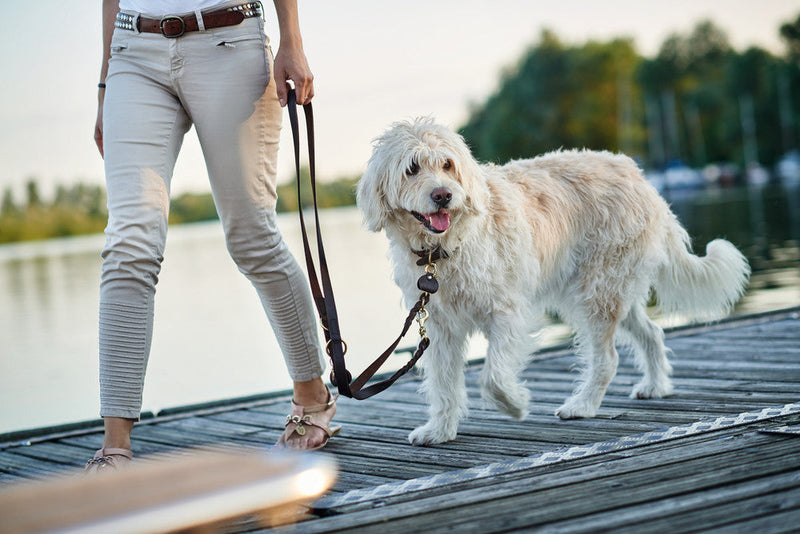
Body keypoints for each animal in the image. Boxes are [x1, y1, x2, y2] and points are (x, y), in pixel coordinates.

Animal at [356, 118, 752, 448]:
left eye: (447, 165)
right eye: (411, 168)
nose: (443, 195)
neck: (442, 250)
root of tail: (639, 176)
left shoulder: (507, 313)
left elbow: (492, 378)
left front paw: (516, 405)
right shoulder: (440, 328)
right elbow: (442, 384)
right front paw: (439, 430)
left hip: (596, 293)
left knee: (607, 358)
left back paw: (582, 405)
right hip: (611, 290)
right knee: (651, 333)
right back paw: (655, 386)